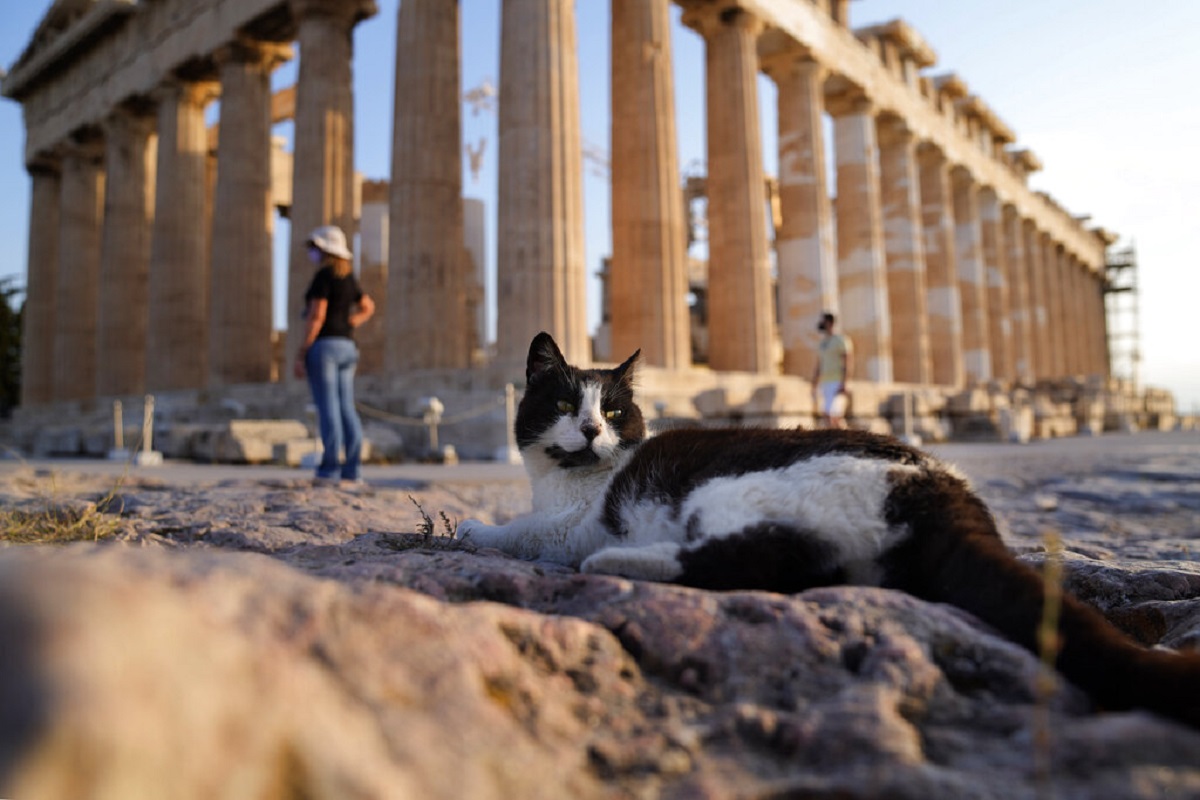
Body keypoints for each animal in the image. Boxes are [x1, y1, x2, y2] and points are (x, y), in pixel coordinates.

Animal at [458, 331, 1200, 734]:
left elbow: (519, 530)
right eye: (563, 402)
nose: (590, 429)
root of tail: (945, 489)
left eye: (613, 412)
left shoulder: (568, 527)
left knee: (760, 562)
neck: (572, 477)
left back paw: (622, 562)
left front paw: (469, 527)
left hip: (737, 491)